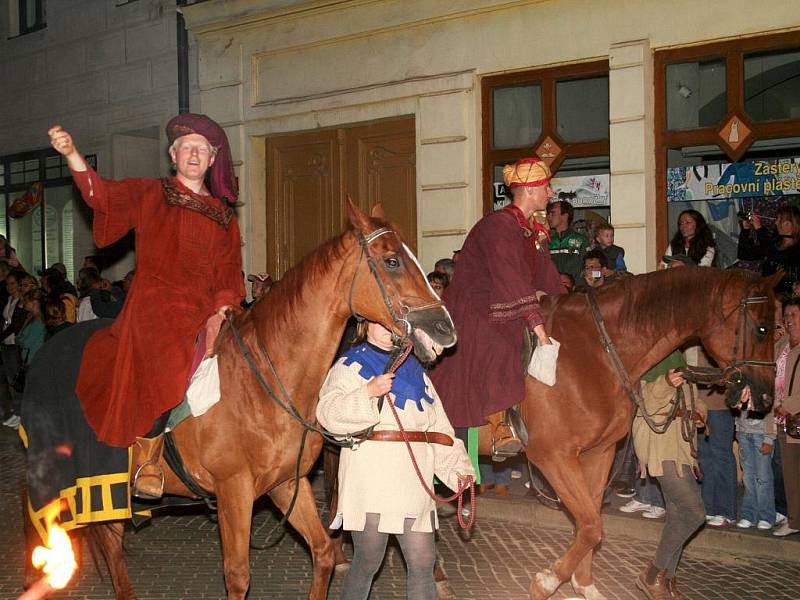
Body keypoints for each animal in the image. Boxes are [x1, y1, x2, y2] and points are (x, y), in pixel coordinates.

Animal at [25, 199, 456, 596]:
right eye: (391, 261)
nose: (444, 328)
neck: (264, 382)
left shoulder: (286, 484)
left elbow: (322, 553)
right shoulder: (234, 491)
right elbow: (237, 575)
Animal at [472, 268, 780, 600]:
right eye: (762, 329)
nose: (766, 396)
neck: (596, 352)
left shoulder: (598, 453)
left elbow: (589, 524)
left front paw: (584, 585)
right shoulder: (553, 456)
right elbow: (591, 525)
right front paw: (547, 582)